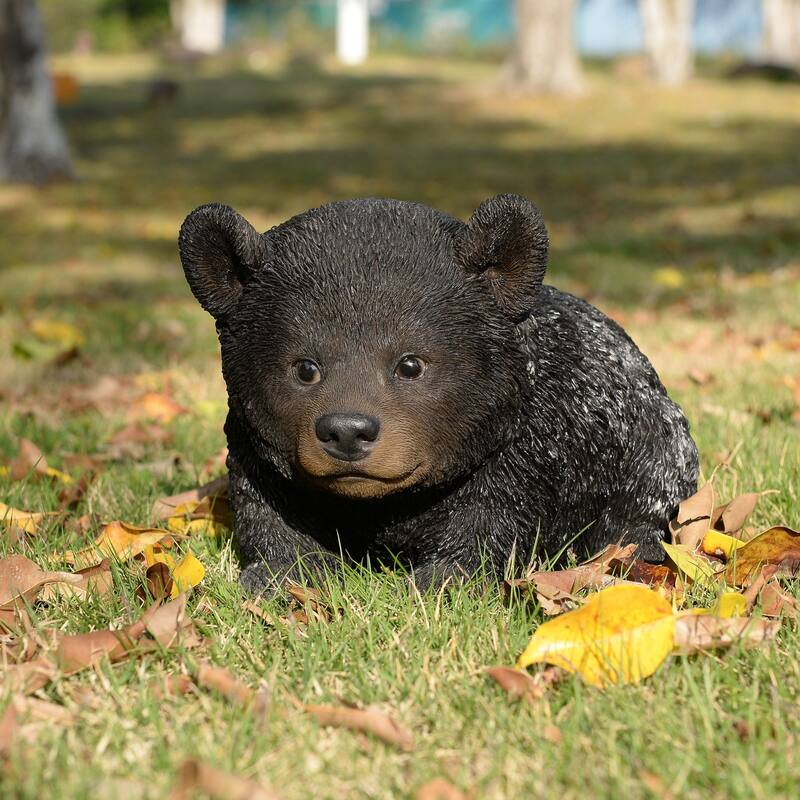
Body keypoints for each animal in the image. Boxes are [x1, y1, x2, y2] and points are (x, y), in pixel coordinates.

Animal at [178, 194, 699, 594]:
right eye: (305, 368)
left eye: (411, 364)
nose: (347, 430)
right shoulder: (251, 441)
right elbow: (268, 506)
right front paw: (283, 576)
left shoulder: (530, 448)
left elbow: (491, 519)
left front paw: (443, 579)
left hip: (657, 446)